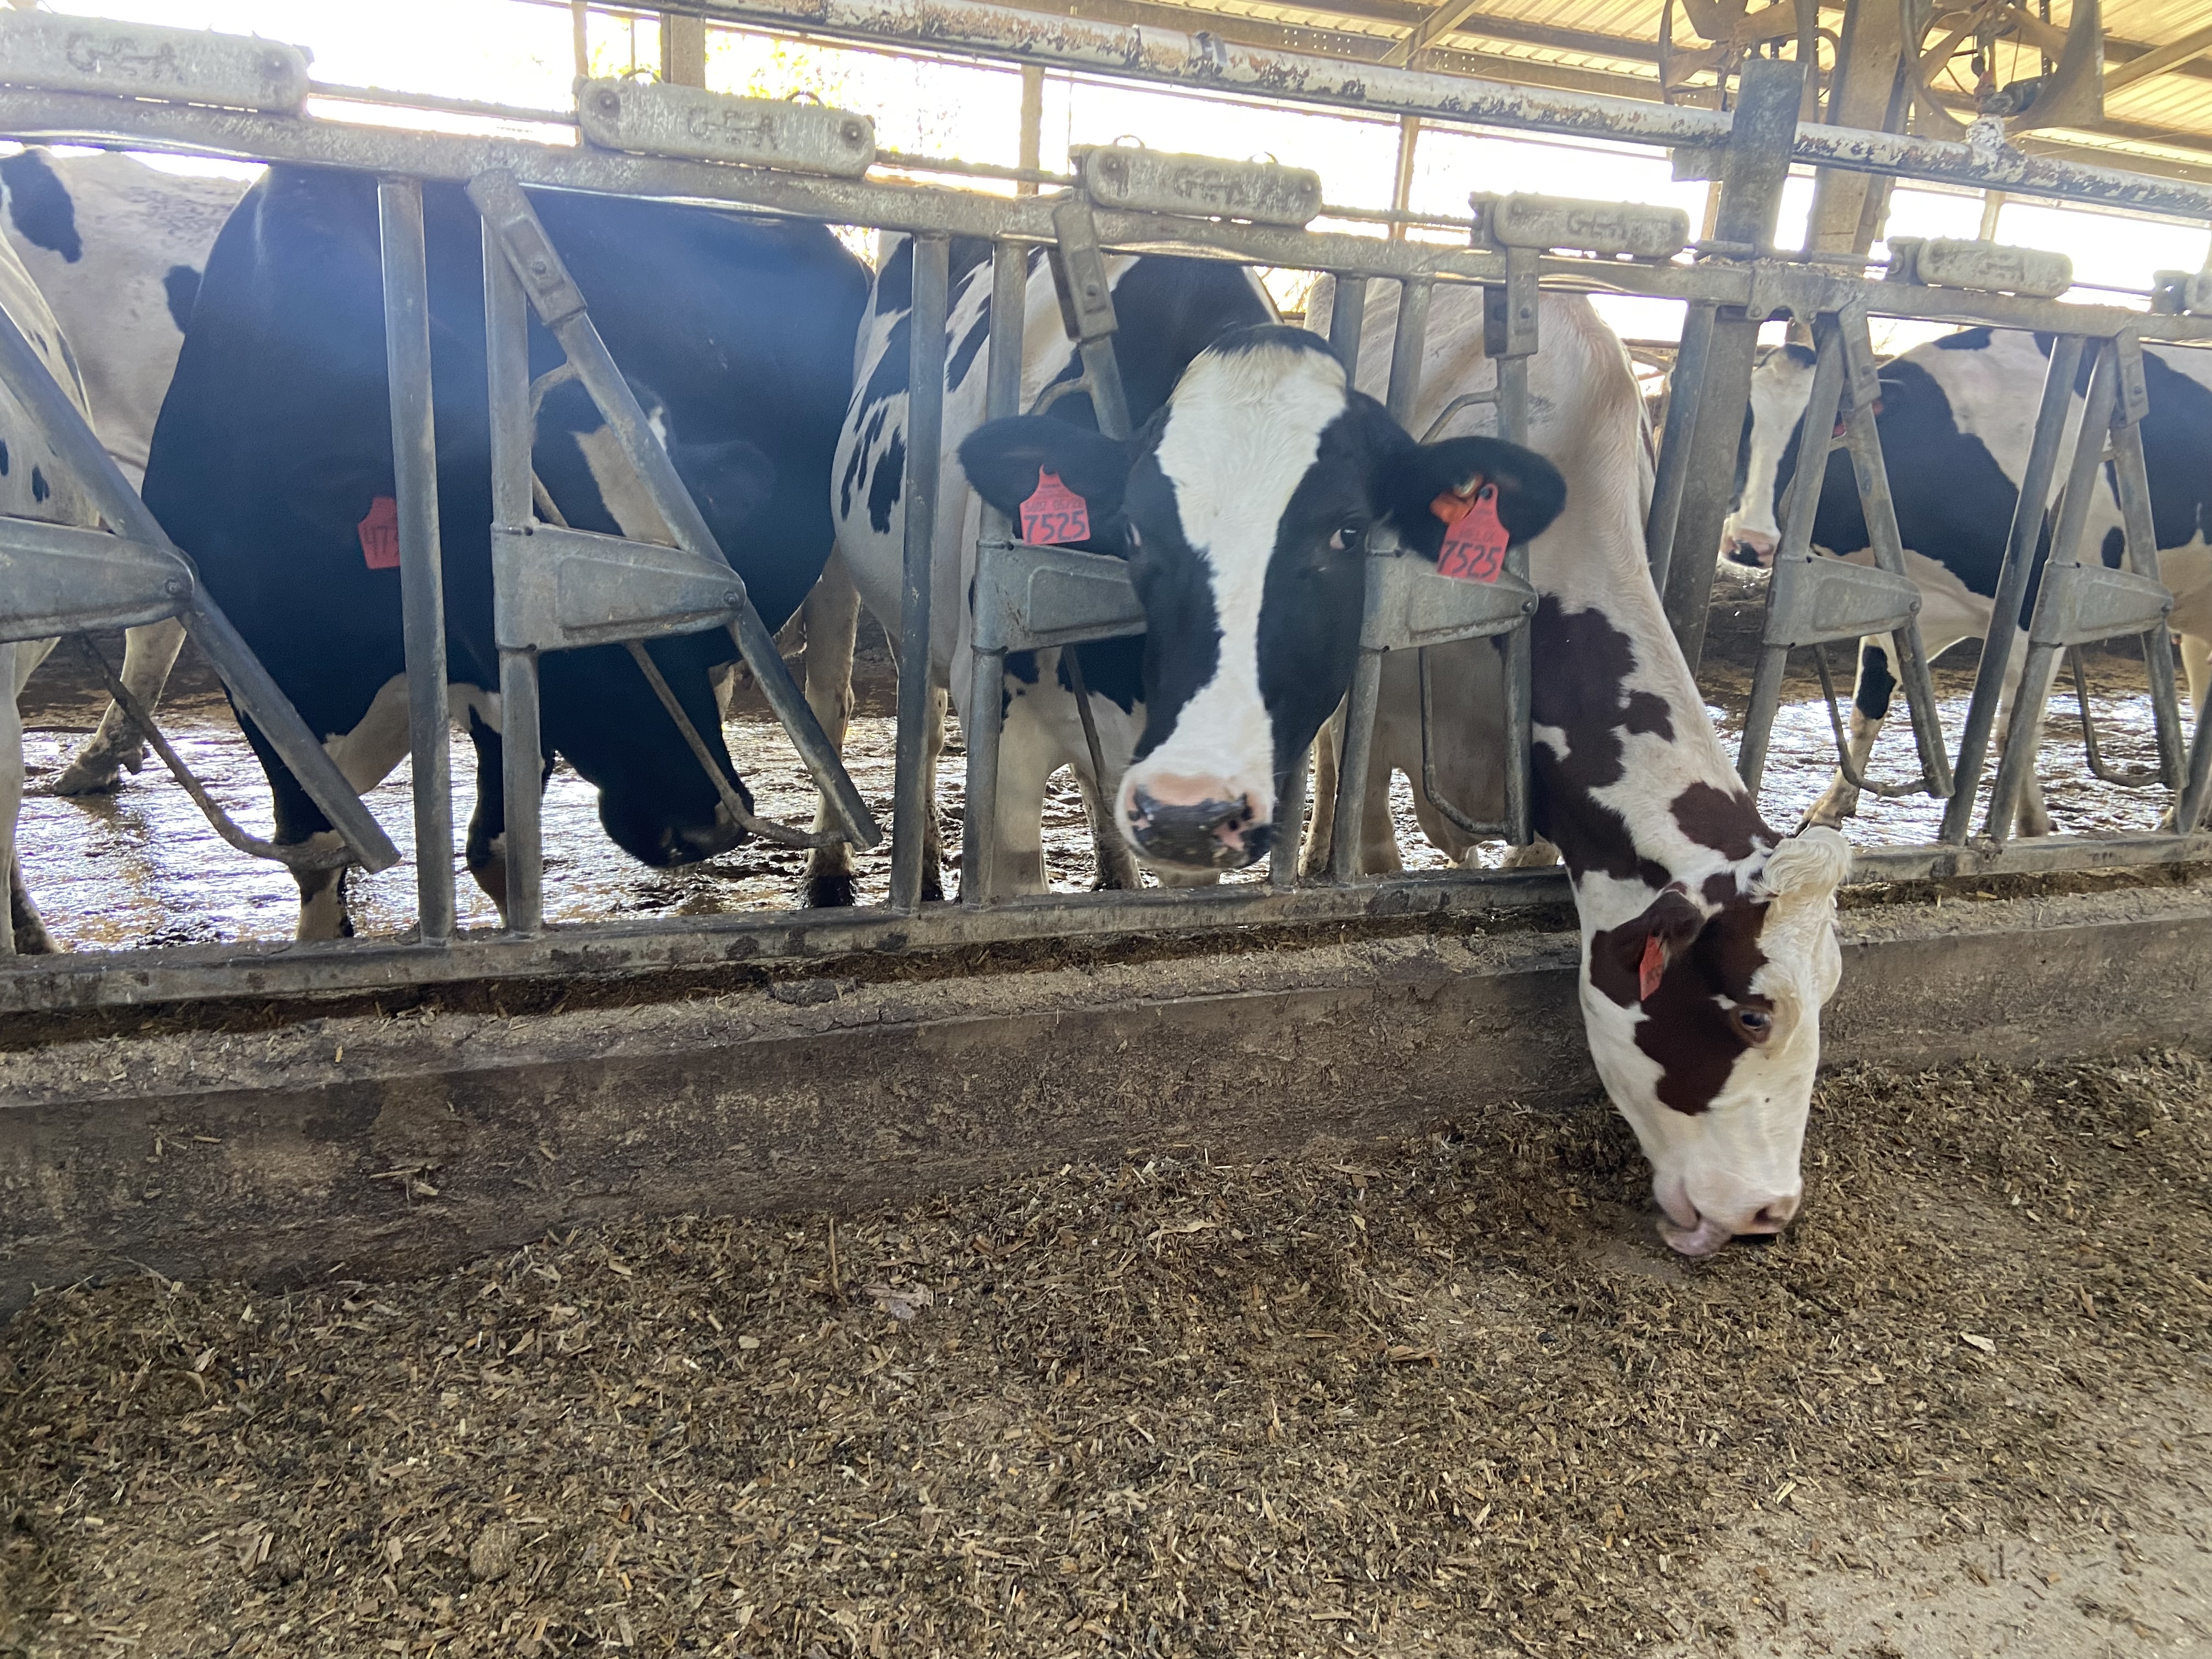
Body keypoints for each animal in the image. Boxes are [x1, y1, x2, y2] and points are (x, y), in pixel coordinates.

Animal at [142, 165, 868, 939]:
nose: (707, 828)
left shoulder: (498, 690)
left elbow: (494, 853)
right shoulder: (254, 673)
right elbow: (312, 852)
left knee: (829, 703)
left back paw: (828, 869)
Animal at [1723, 327, 2212, 833]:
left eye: (1831, 429)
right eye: (1743, 424)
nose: (1750, 542)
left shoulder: (2036, 611)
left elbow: (2013, 735)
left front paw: (2029, 828)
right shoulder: (1894, 605)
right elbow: (1868, 709)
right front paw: (1829, 809)